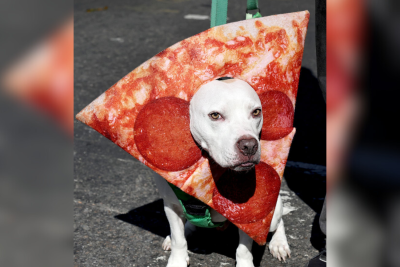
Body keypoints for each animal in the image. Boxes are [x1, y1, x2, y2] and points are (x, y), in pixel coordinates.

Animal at [152, 78, 290, 266]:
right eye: (215, 115)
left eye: (256, 112)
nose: (249, 146)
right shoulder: (171, 206)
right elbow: (178, 240)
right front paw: (177, 261)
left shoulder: (248, 218)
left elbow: (244, 249)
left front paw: (245, 264)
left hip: (274, 213)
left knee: (279, 222)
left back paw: (279, 244)